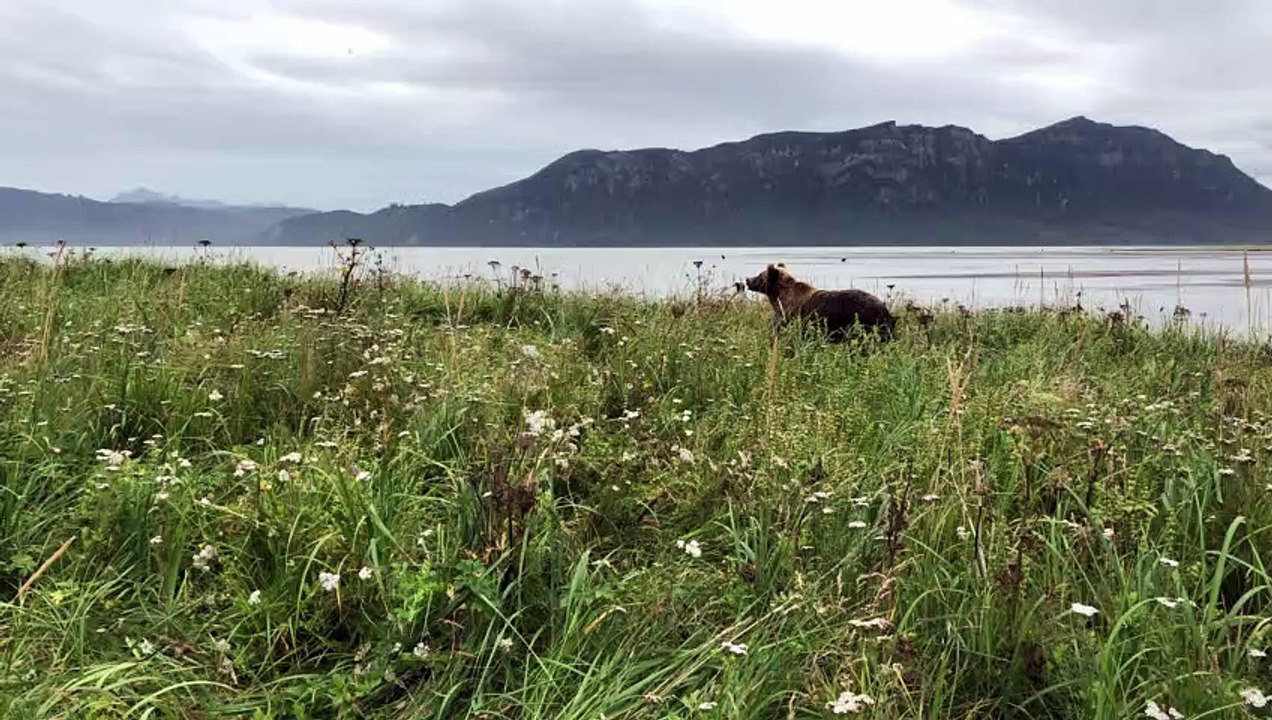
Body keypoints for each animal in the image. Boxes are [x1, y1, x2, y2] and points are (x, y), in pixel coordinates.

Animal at [744, 263, 895, 342]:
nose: (747, 279)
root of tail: (884, 309)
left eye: (759, 275)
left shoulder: (791, 315)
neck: (779, 298)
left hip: (864, 321)